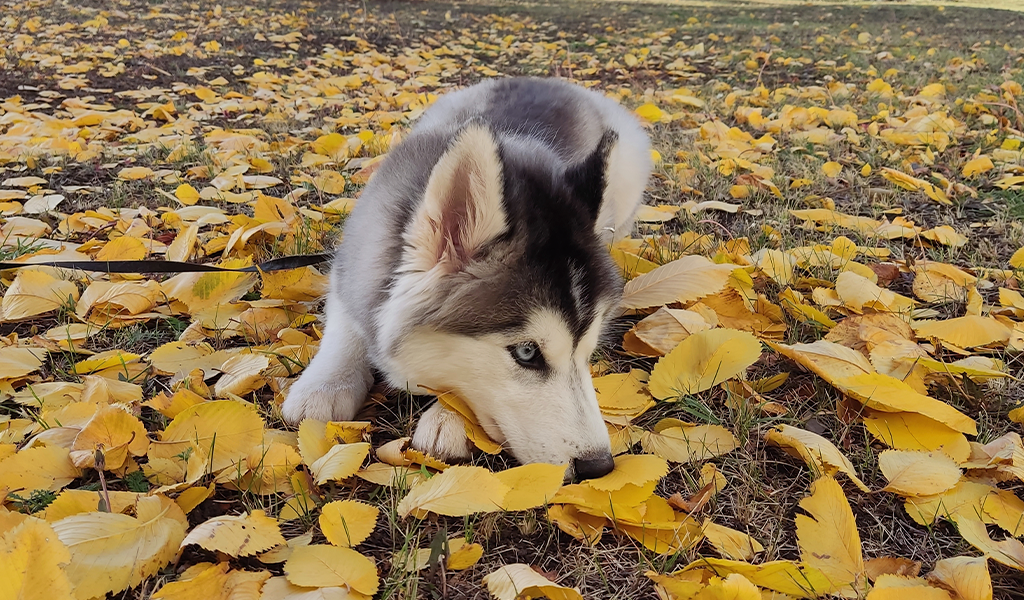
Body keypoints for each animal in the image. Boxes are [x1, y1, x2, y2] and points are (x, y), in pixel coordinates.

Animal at [280, 78, 647, 477]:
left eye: (588, 349)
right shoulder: (352, 264)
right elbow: (346, 325)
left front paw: (449, 419)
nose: (599, 466)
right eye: (527, 352)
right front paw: (325, 386)